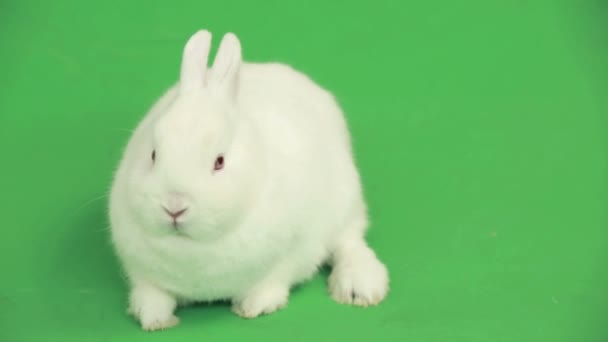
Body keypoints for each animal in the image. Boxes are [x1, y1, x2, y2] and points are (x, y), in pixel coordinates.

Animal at [108, 30, 390, 332]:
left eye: (219, 161)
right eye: (153, 154)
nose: (174, 206)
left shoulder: (288, 257)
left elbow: (271, 283)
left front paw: (254, 307)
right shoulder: (143, 275)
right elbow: (151, 294)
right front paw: (154, 319)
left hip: (345, 202)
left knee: (349, 242)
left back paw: (360, 288)